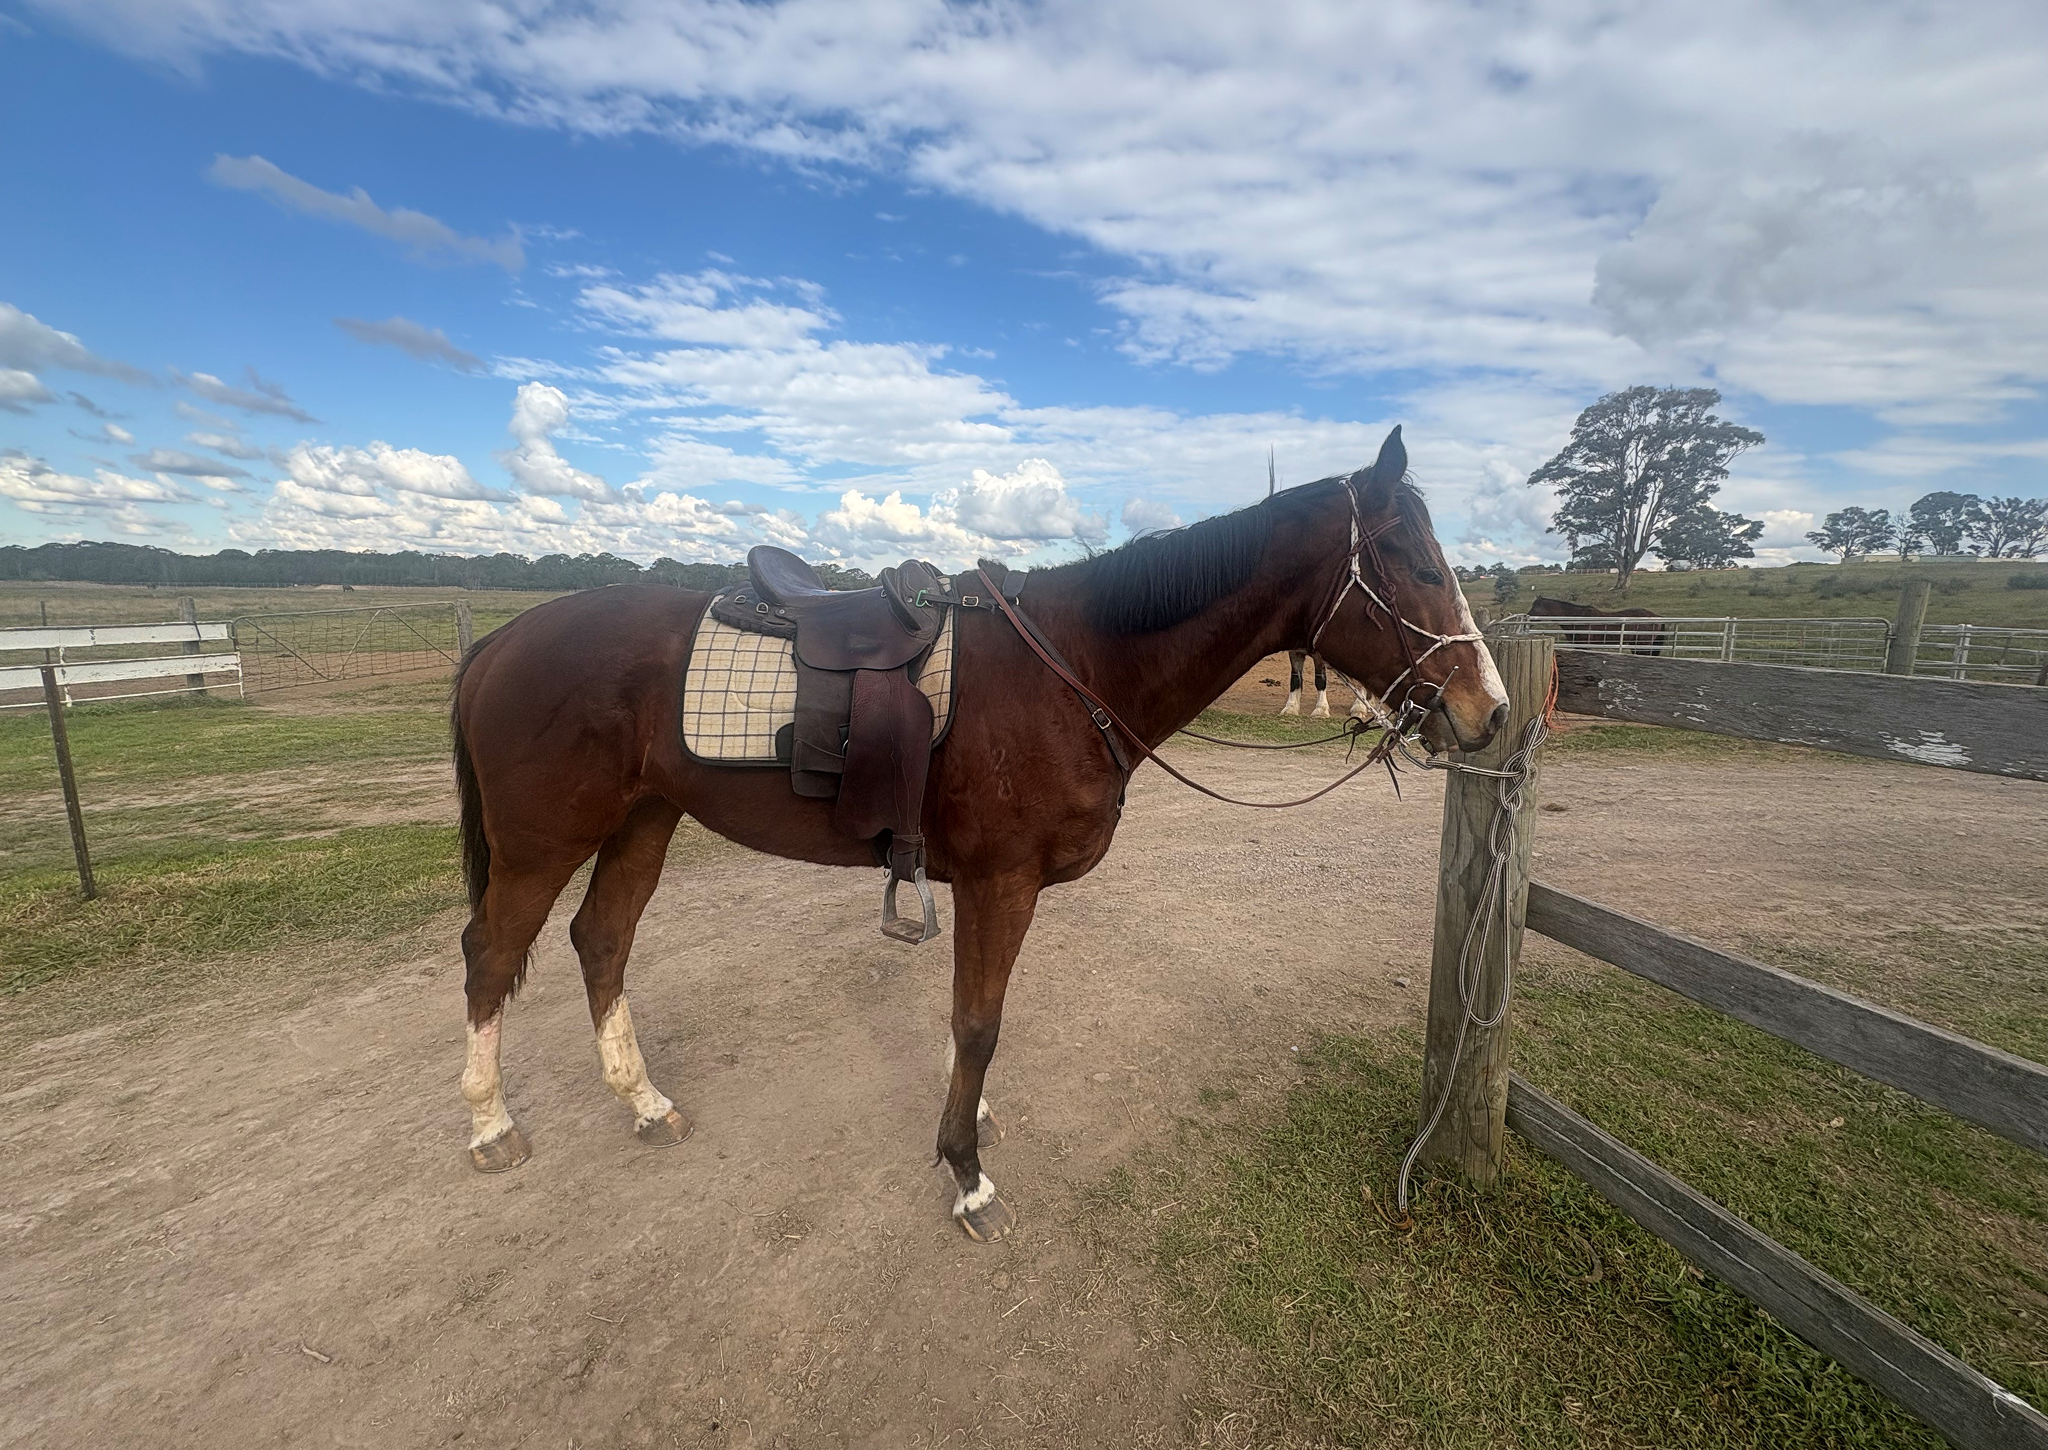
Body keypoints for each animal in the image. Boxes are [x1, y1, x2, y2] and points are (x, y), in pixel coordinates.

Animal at [448, 427, 1508, 1241]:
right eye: (1417, 567)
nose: (1489, 712)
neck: (1069, 669)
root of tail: (500, 642)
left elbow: (972, 1018)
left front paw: (973, 1118)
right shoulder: (1001, 882)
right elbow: (979, 1022)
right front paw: (965, 1174)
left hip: (643, 819)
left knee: (601, 941)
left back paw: (644, 1103)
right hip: (543, 842)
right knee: (493, 953)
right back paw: (490, 1127)